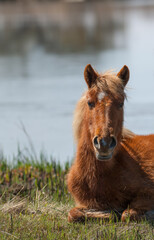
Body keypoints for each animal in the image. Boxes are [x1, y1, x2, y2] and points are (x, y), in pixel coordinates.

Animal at [67, 64, 154, 223]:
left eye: (121, 103)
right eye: (90, 103)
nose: (104, 143)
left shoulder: (148, 192)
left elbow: (128, 213)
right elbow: (73, 214)